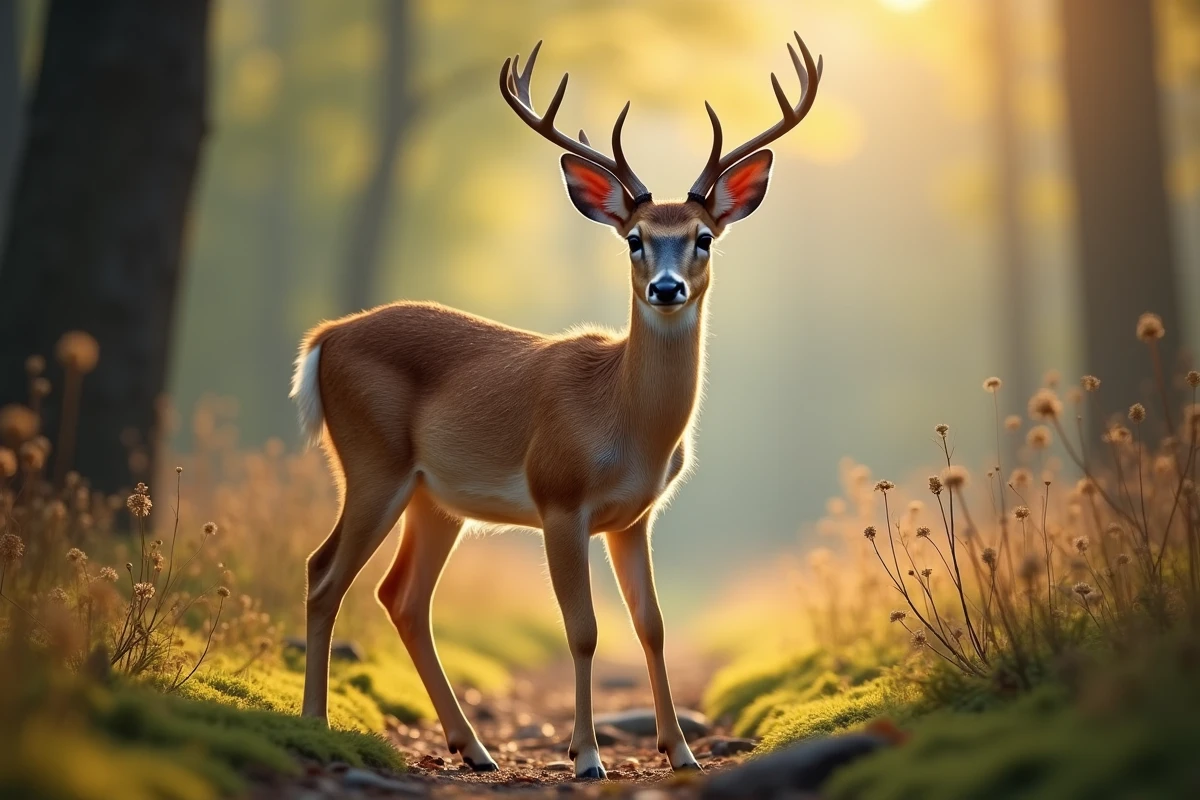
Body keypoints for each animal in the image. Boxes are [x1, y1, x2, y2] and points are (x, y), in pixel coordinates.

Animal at [290, 33, 822, 779]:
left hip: (435, 498)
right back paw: (317, 723)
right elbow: (584, 630)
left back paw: (475, 749)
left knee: (402, 596)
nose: (664, 288)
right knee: (324, 572)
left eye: (703, 237)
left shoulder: (635, 519)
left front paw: (681, 751)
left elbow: (652, 626)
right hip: (372, 462)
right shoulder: (558, 500)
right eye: (634, 238)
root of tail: (324, 338)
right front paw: (588, 756)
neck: (625, 425)